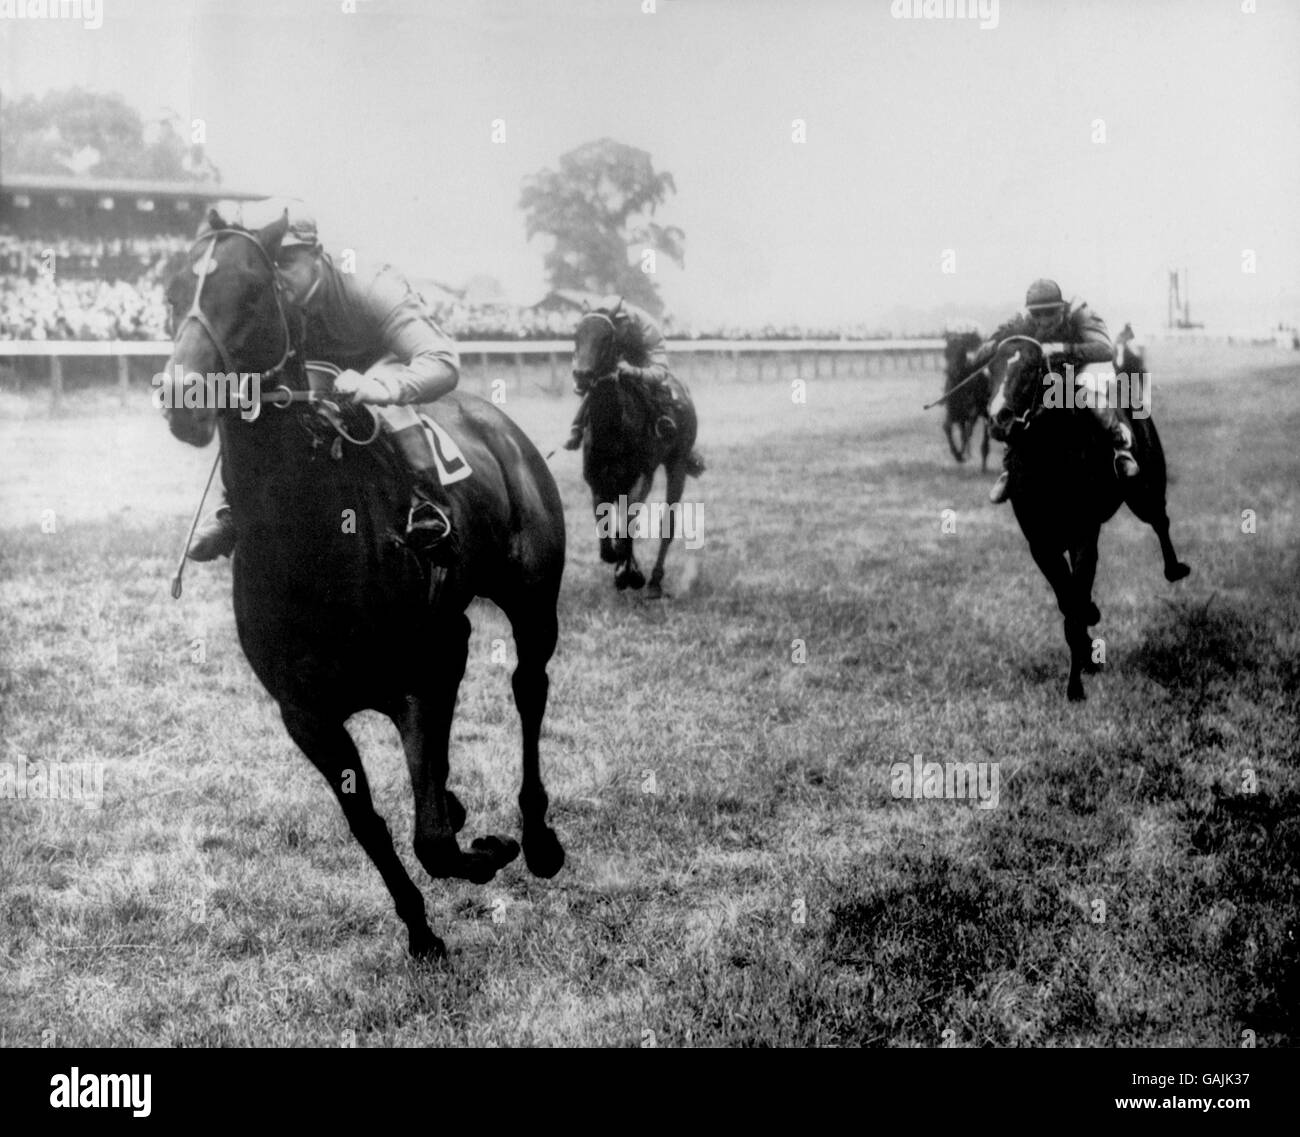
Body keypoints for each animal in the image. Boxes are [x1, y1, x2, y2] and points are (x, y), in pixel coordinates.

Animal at [159, 213, 566, 961]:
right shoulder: (307, 714)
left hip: (532, 601)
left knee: (530, 689)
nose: (183, 397)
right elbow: (371, 825)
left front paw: (488, 850)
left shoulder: (431, 666)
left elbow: (431, 837)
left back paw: (539, 838)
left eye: (251, 293)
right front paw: (421, 931)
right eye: (172, 293)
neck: (310, 543)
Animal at [574, 306, 707, 600]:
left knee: (667, 523)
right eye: (576, 333)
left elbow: (627, 526)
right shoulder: (597, 481)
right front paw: (618, 564)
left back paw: (654, 582)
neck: (612, 429)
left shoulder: (641, 476)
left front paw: (630, 574)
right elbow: (607, 525)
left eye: (607, 337)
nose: (581, 374)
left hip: (677, 464)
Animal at [982, 332, 1190, 696]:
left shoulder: (1083, 534)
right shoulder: (1041, 543)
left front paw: (1075, 685)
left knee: (1160, 522)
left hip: (1145, 489)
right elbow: (1068, 598)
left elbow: (1076, 598)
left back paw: (1174, 568)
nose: (998, 419)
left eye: (1030, 369)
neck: (1049, 461)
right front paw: (1087, 654)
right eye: (990, 370)